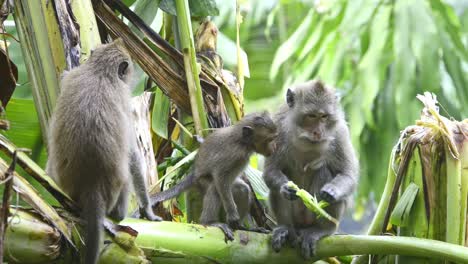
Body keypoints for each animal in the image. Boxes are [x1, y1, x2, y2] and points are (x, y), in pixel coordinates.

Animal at [46, 39, 162, 264]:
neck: (99, 71)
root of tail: (92, 188)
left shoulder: (74, 75)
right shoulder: (124, 98)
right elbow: (133, 157)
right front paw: (148, 211)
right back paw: (120, 216)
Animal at [151, 111, 278, 239]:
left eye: (274, 138)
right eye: (270, 139)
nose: (274, 147)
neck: (242, 142)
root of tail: (195, 172)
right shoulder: (234, 154)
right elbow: (221, 178)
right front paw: (232, 215)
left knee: (242, 189)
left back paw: (245, 228)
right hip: (202, 180)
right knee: (214, 188)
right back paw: (209, 222)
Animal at [264, 79, 358, 258]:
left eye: (324, 116)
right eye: (312, 116)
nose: (318, 132)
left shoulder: (340, 132)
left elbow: (348, 174)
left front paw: (332, 191)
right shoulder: (276, 126)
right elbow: (270, 171)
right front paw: (286, 188)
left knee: (324, 171)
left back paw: (321, 229)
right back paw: (285, 229)